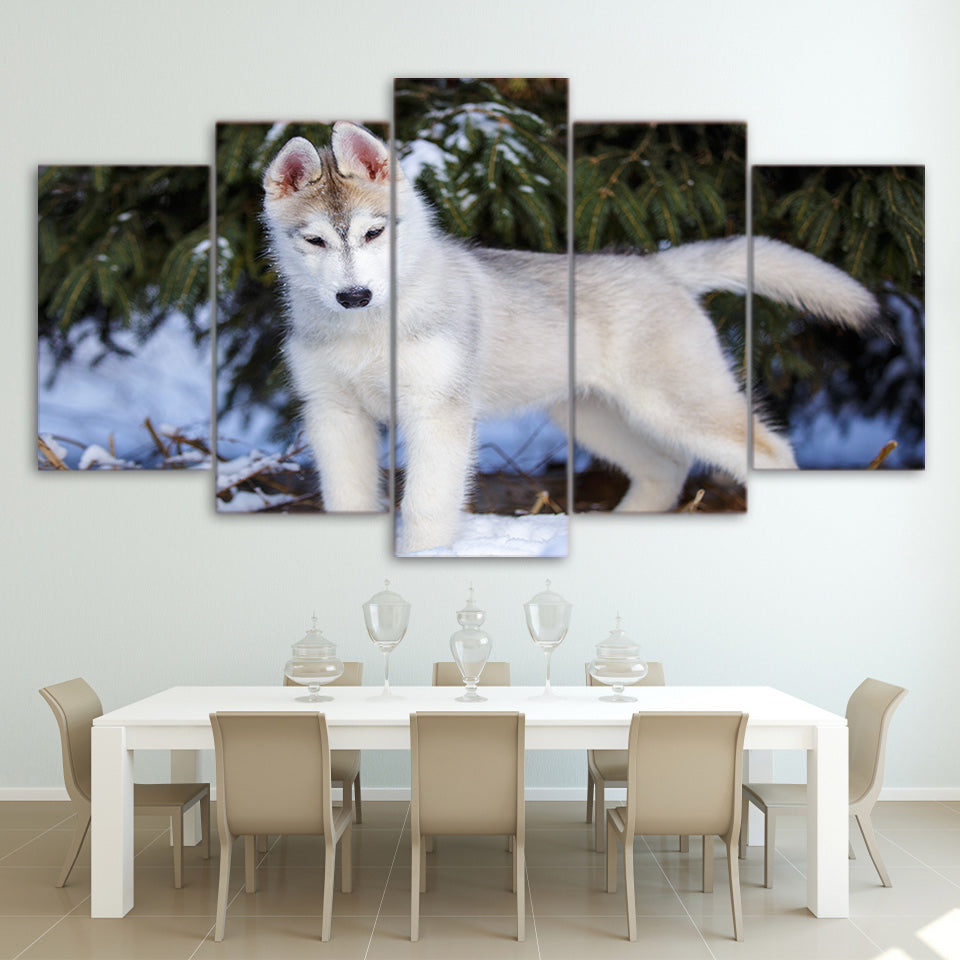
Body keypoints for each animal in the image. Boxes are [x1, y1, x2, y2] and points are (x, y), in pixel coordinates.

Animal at [262, 122, 877, 553]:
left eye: (374, 233)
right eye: (315, 241)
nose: (354, 296)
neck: (365, 331)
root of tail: (659, 267)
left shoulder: (437, 413)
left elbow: (426, 510)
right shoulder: (335, 414)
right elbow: (347, 499)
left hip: (677, 405)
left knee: (771, 450)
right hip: (592, 414)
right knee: (665, 470)